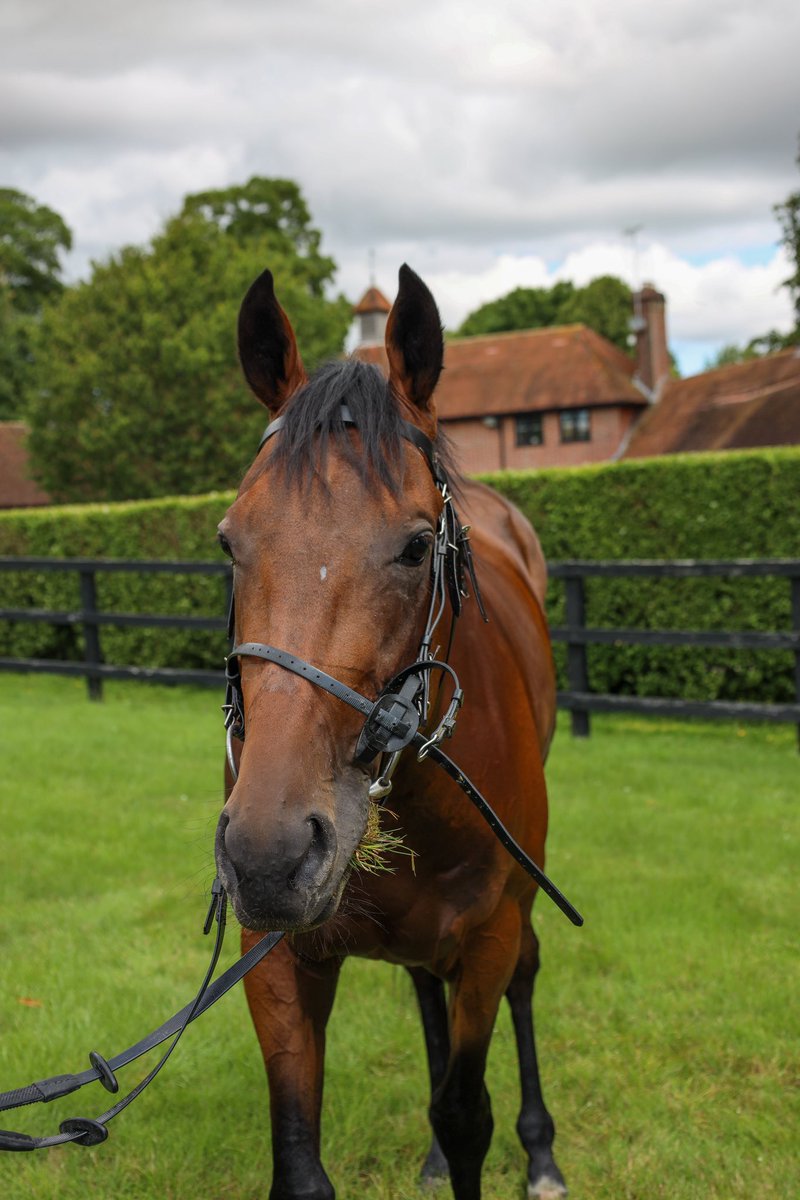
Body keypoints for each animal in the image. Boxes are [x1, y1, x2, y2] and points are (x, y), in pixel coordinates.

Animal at [214, 265, 568, 1200]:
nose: (268, 853)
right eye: (229, 543)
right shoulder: (276, 955)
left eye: (415, 548)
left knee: (526, 980)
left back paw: (543, 1152)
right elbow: (300, 1159)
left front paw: (501, 1146)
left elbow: (467, 1114)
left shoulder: (488, 939)